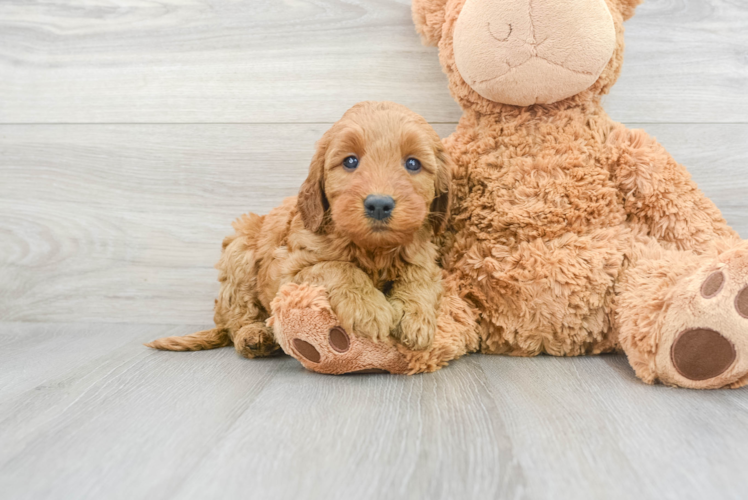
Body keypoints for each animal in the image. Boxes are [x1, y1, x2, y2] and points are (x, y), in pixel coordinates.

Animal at [146, 102, 450, 356]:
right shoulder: (289, 272)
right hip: (239, 250)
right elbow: (337, 267)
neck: (372, 249)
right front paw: (368, 308)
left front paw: (415, 318)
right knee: (237, 318)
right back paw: (255, 335)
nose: (378, 204)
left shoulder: (424, 258)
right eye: (350, 161)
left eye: (413, 163)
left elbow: (419, 280)